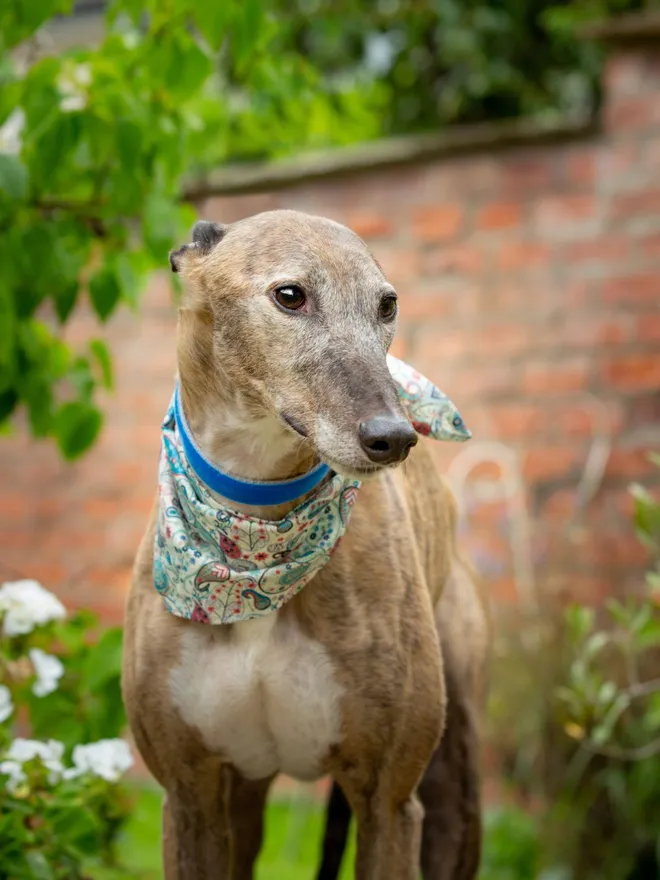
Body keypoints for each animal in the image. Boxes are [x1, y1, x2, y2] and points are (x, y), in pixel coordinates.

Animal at [122, 210, 490, 876]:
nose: (394, 437)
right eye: (289, 295)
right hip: (241, 803)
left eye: (387, 304)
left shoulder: (389, 803)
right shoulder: (189, 797)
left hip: (457, 780)